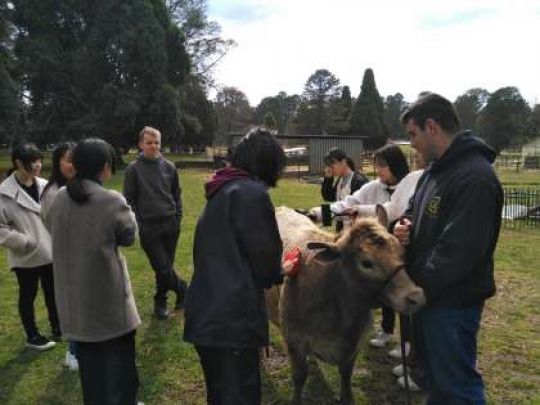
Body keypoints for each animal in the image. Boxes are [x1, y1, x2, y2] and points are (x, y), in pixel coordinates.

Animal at [266, 207, 426, 402]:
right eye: (366, 263)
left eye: (401, 252)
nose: (416, 296)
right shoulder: (293, 341)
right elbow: (299, 376)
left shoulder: (355, 344)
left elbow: (346, 374)